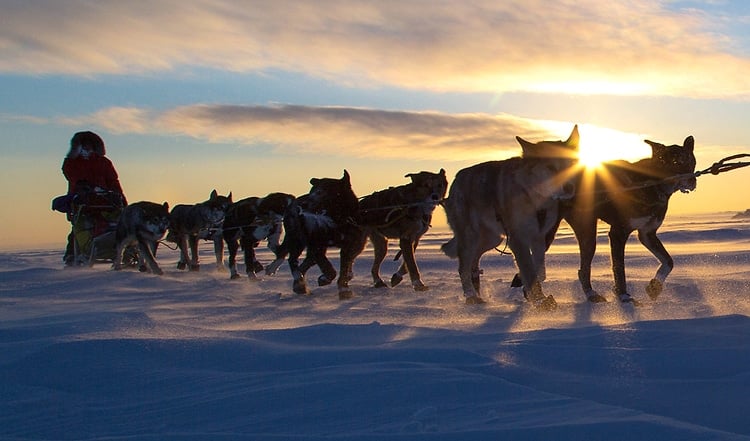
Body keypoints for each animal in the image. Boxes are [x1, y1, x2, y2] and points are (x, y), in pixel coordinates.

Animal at [266, 168, 368, 300]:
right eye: (311, 191)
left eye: (321, 191)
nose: (302, 205)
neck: (338, 221)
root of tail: (293, 202)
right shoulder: (317, 246)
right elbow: (329, 268)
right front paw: (325, 278)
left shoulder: (351, 246)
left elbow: (345, 269)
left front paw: (344, 289)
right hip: (297, 239)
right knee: (292, 259)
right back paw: (298, 282)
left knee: (306, 261)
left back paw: (298, 282)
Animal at [440, 125, 580, 308]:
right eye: (550, 167)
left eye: (571, 164)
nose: (570, 187)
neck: (534, 197)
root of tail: (456, 180)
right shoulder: (518, 239)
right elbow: (529, 271)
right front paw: (539, 301)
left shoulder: (538, 237)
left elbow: (538, 271)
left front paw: (530, 291)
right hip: (471, 236)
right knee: (463, 266)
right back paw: (471, 296)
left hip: (492, 238)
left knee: (473, 261)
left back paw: (477, 291)